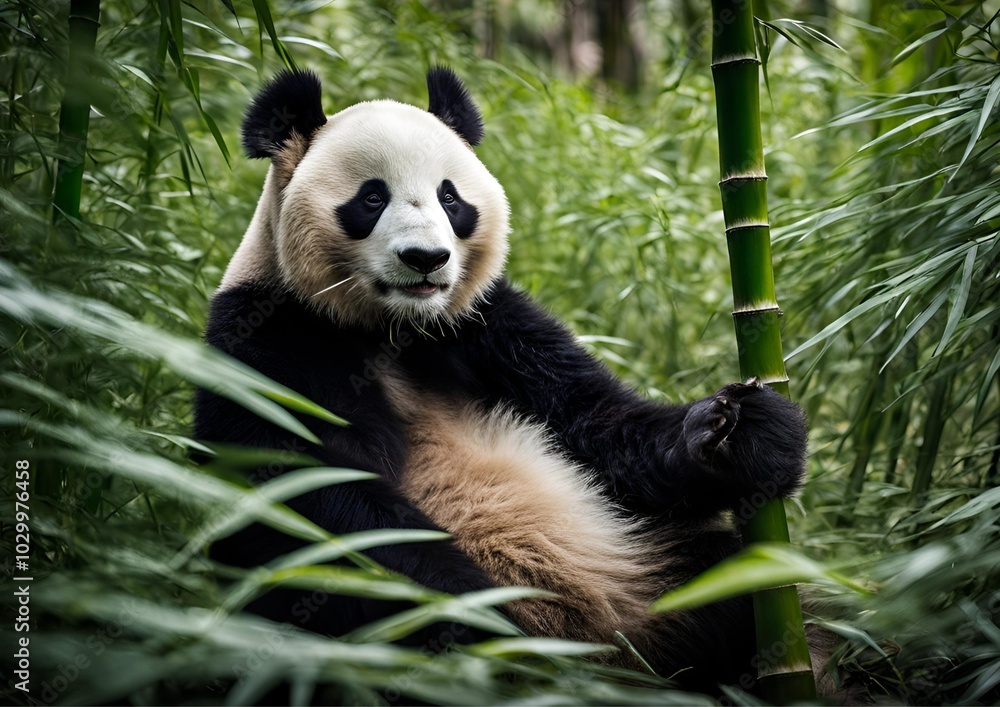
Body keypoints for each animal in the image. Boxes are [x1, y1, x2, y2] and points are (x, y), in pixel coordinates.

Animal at [195, 68, 808, 692]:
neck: (394, 328)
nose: (426, 258)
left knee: (725, 586)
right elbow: (323, 503)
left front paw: (741, 433)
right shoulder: (270, 343)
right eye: (371, 197)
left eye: (450, 197)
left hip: (661, 574)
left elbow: (602, 426)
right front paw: (482, 617)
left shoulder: (490, 326)